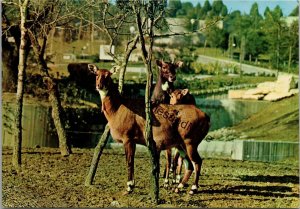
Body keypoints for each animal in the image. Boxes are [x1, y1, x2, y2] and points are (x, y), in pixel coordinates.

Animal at [88, 64, 211, 195]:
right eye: (97, 74)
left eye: (108, 75)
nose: (99, 86)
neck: (118, 108)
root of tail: (206, 116)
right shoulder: (134, 141)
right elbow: (132, 161)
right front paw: (132, 185)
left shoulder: (128, 138)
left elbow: (129, 161)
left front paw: (129, 187)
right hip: (180, 145)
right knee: (189, 165)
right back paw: (178, 187)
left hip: (190, 142)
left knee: (197, 161)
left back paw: (193, 188)